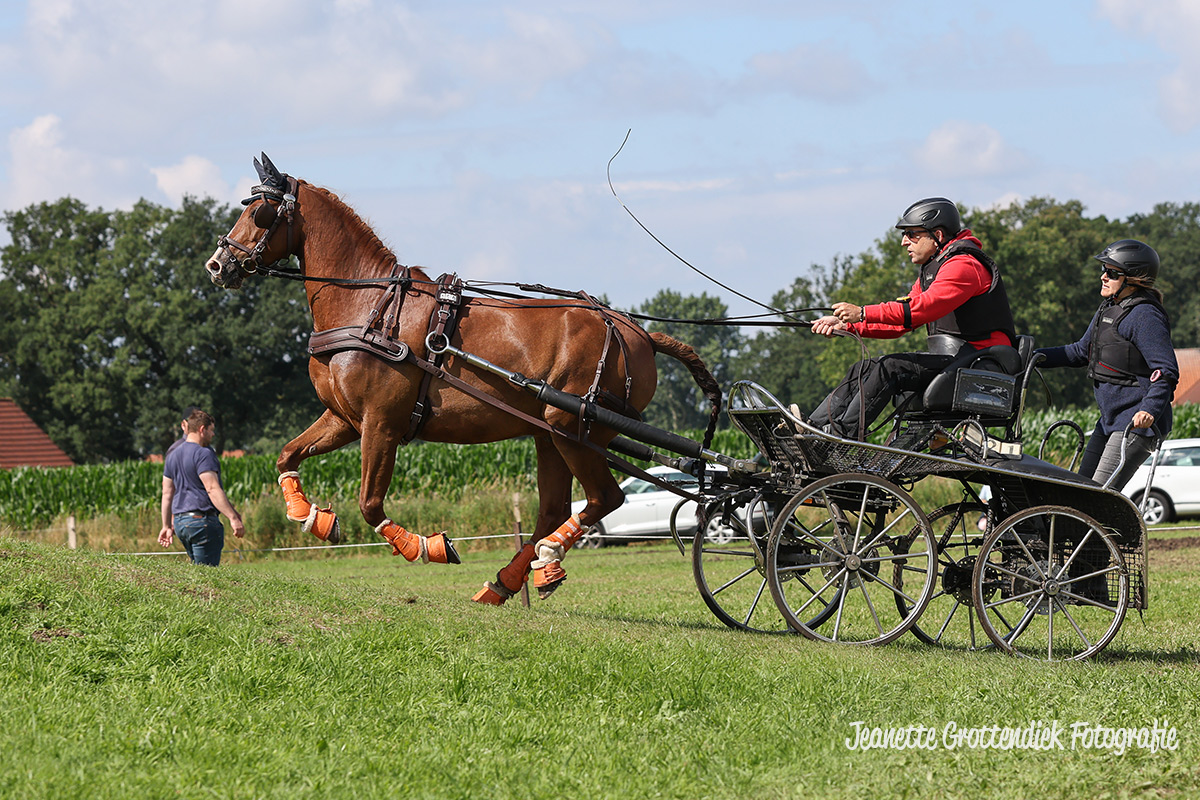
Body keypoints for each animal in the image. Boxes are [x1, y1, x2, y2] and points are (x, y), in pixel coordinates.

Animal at [204, 154, 720, 606]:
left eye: (260, 212)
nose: (216, 265)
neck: (369, 308)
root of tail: (639, 333)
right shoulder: (345, 419)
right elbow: (286, 455)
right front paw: (309, 516)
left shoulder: (381, 424)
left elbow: (370, 503)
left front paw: (425, 546)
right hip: (549, 434)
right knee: (554, 510)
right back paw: (510, 580)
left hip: (573, 426)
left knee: (604, 497)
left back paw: (546, 558)